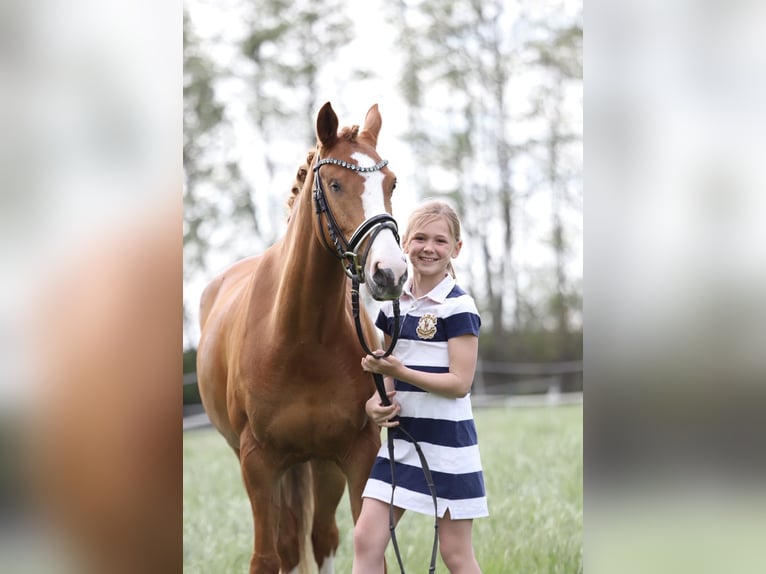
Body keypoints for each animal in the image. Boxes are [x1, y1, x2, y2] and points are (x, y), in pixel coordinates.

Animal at [196, 102, 408, 573]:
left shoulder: (356, 453)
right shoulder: (257, 463)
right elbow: (266, 557)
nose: (391, 272)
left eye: (391, 183)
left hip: (319, 465)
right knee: (291, 543)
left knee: (320, 535)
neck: (302, 339)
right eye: (334, 184)